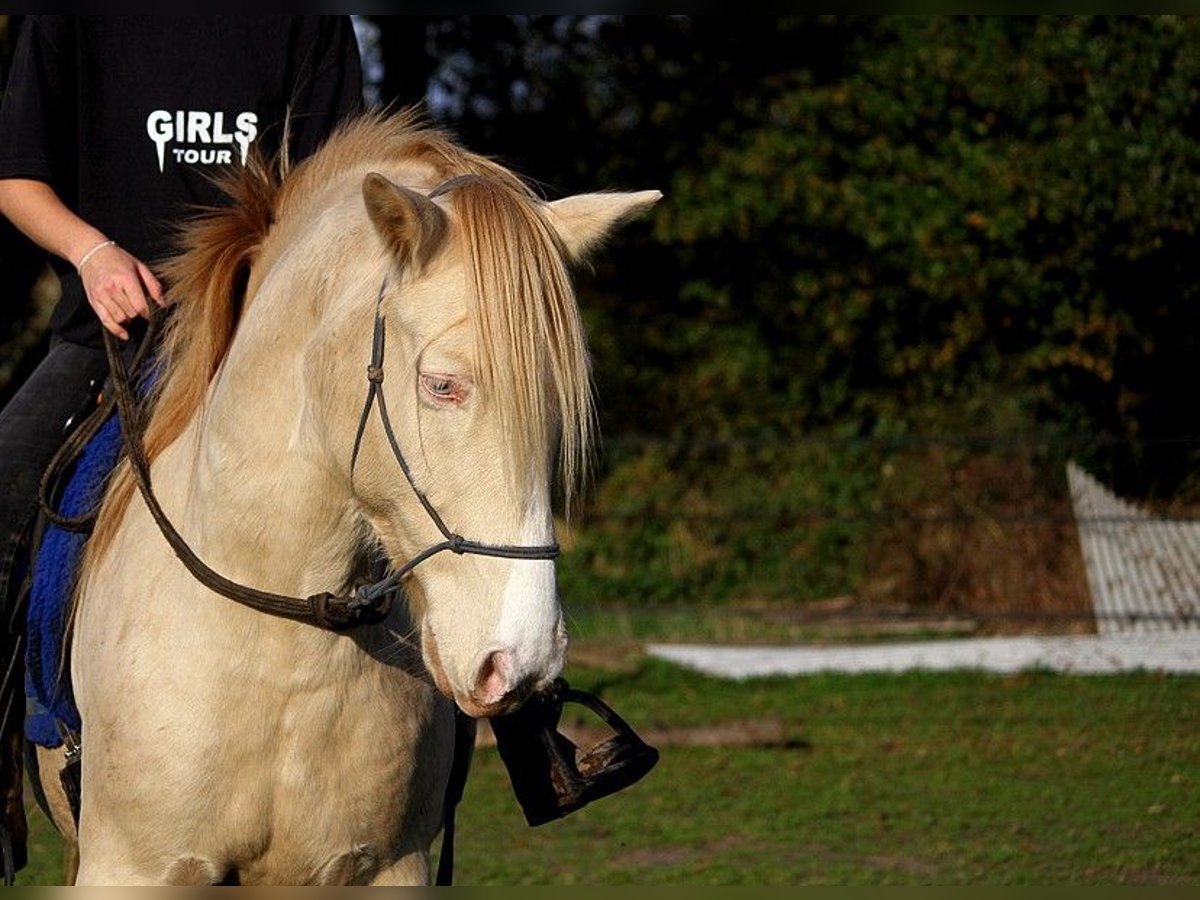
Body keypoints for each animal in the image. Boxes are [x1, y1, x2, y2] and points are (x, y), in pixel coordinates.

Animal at [37, 107, 662, 888]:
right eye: (443, 385)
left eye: (556, 404)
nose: (519, 662)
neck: (287, 637)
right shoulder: (133, 868)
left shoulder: (385, 868)